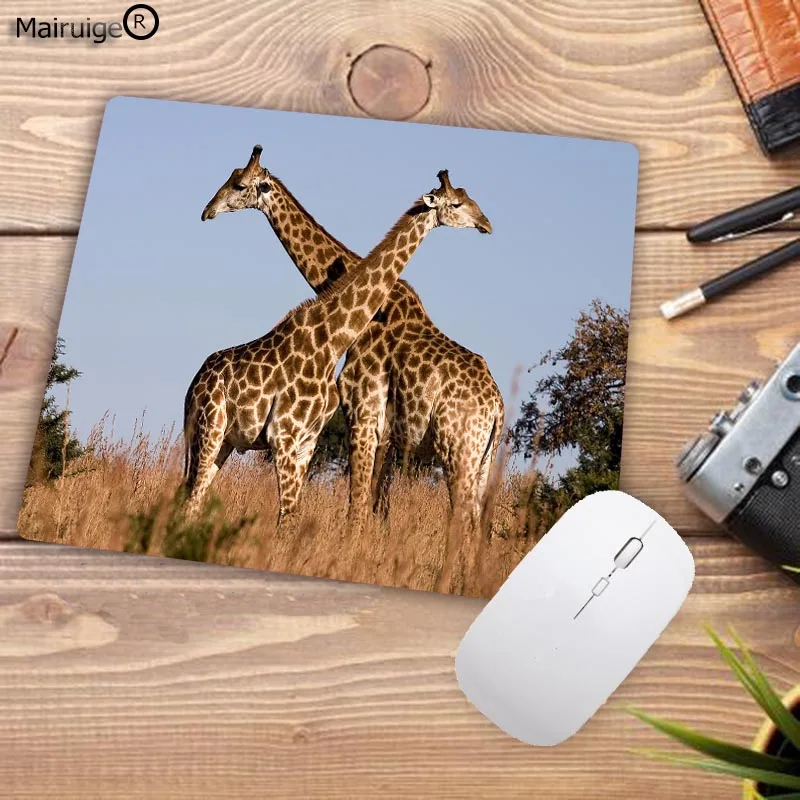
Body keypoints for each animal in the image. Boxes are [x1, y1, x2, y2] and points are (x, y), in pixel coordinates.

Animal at [201, 146, 505, 532]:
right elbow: (377, 509)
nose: (207, 211)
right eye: (460, 201)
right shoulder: (387, 434)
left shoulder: (362, 412)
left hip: (459, 451)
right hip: (483, 459)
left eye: (239, 185)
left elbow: (357, 508)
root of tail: (497, 407)